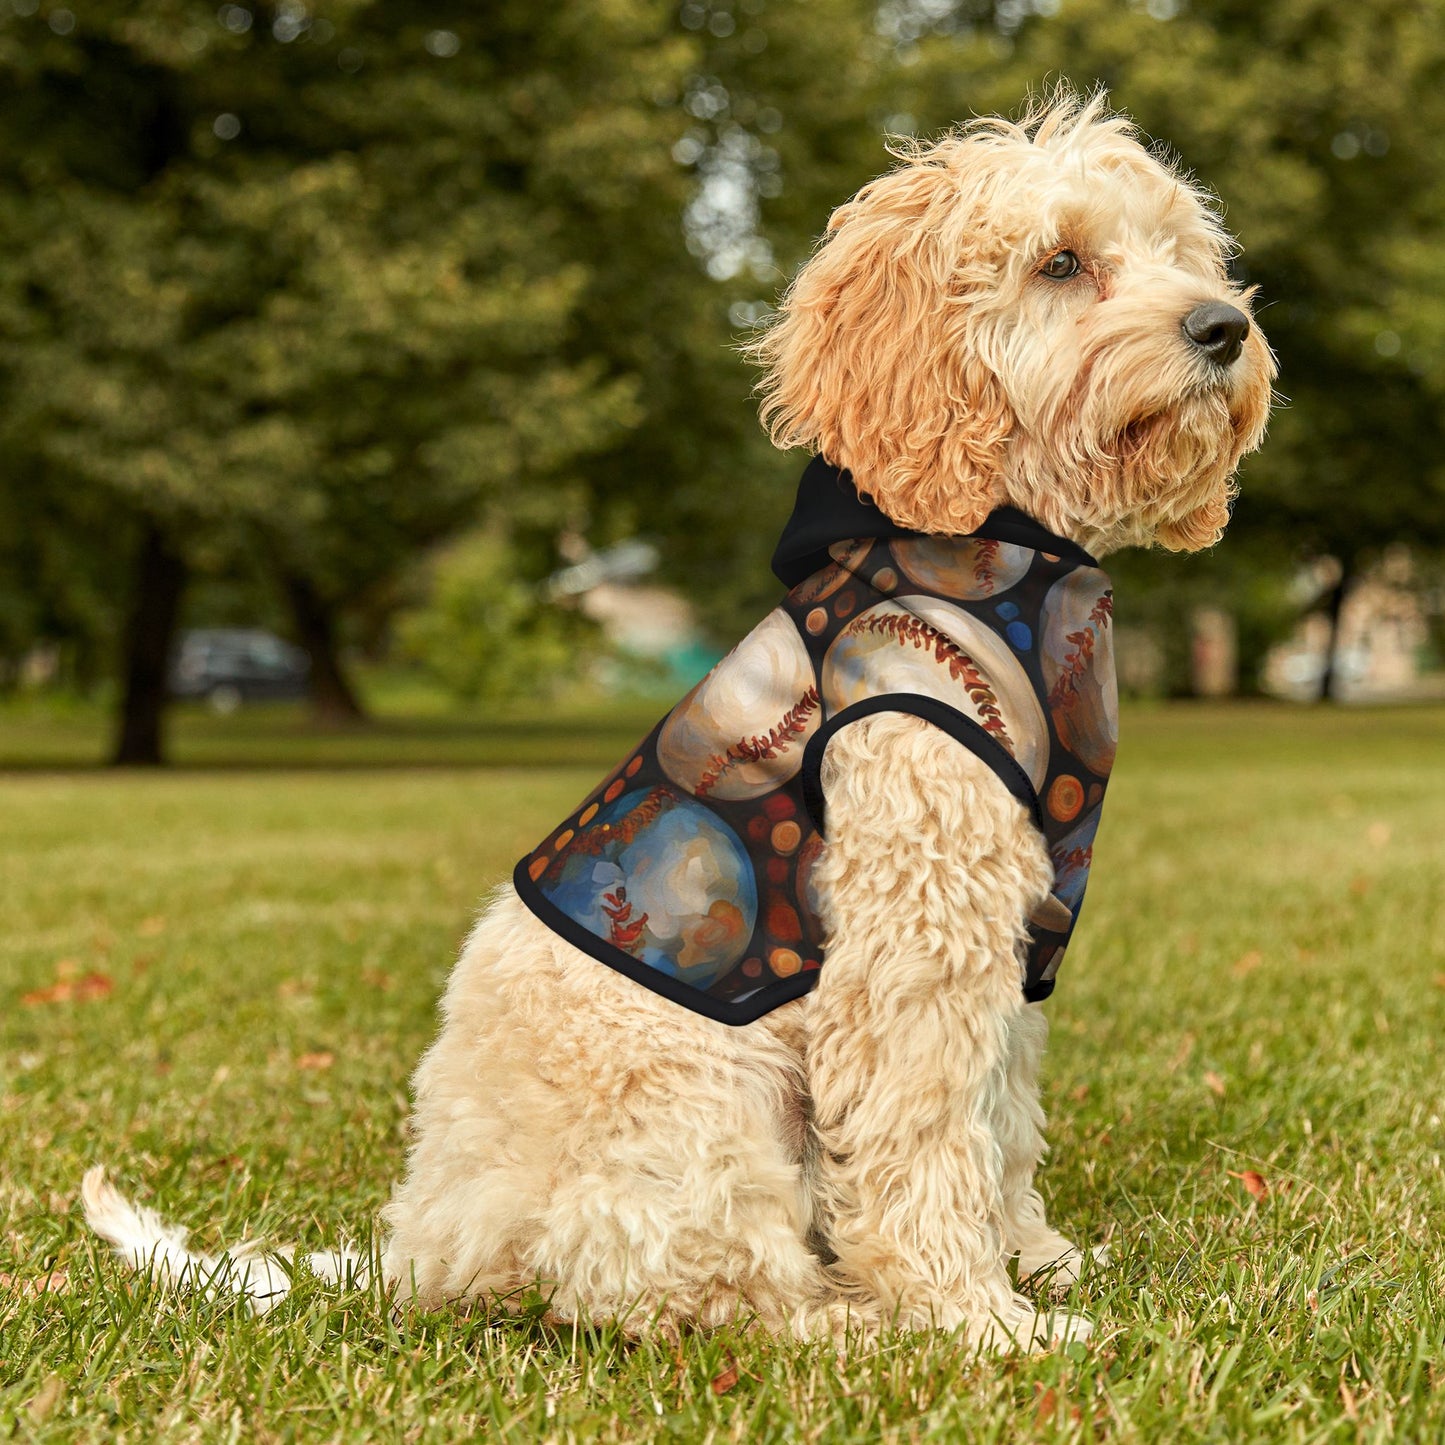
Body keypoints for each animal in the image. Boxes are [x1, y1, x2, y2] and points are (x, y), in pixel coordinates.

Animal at [84, 93, 1271, 1352]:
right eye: (1059, 262)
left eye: (1180, 252)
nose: (1222, 327)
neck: (997, 548)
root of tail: (423, 1248)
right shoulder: (913, 930)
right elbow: (924, 1133)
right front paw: (974, 1318)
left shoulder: (1010, 931)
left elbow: (998, 1117)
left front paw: (1034, 1260)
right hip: (704, 1104)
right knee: (700, 1291)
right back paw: (851, 1322)